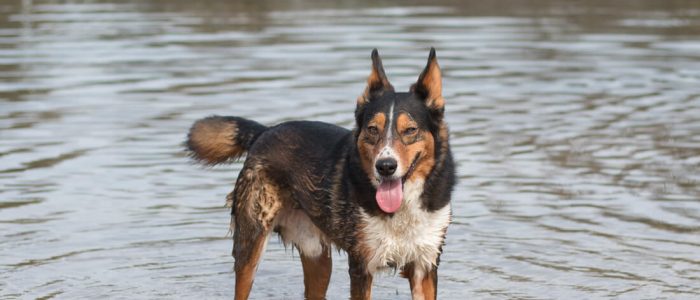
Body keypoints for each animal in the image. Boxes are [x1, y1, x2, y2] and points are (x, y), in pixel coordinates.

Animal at [186, 48, 456, 298]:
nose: (385, 166)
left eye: (410, 130)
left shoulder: (425, 266)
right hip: (250, 246)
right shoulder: (362, 266)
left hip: (316, 256)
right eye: (372, 129)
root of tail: (263, 132)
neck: (402, 208)